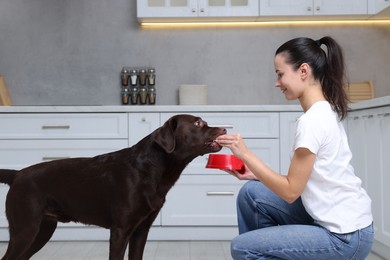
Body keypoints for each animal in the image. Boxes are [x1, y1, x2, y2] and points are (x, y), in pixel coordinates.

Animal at [0, 115, 225, 258]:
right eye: (198, 122)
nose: (225, 128)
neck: (151, 168)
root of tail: (17, 174)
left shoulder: (141, 231)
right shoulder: (120, 231)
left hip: (43, 230)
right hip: (25, 229)